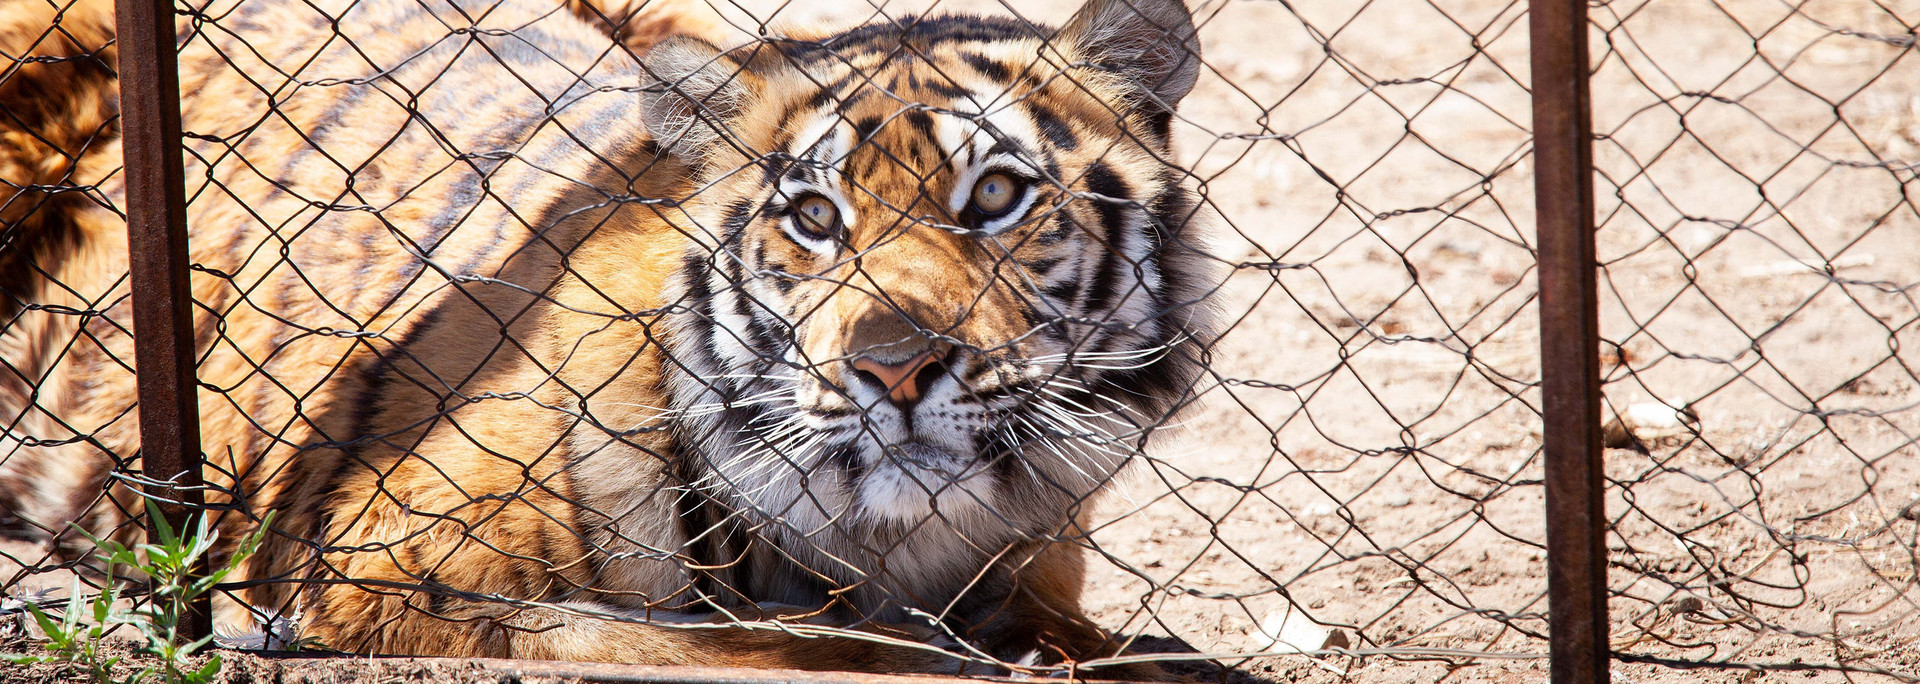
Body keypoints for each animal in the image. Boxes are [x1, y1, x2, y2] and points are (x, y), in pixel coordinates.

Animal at [0, 0, 1216, 675]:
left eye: (997, 197)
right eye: (815, 218)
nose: (893, 365)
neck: (887, 542)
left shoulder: (1038, 576)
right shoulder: (364, 567)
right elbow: (740, 638)